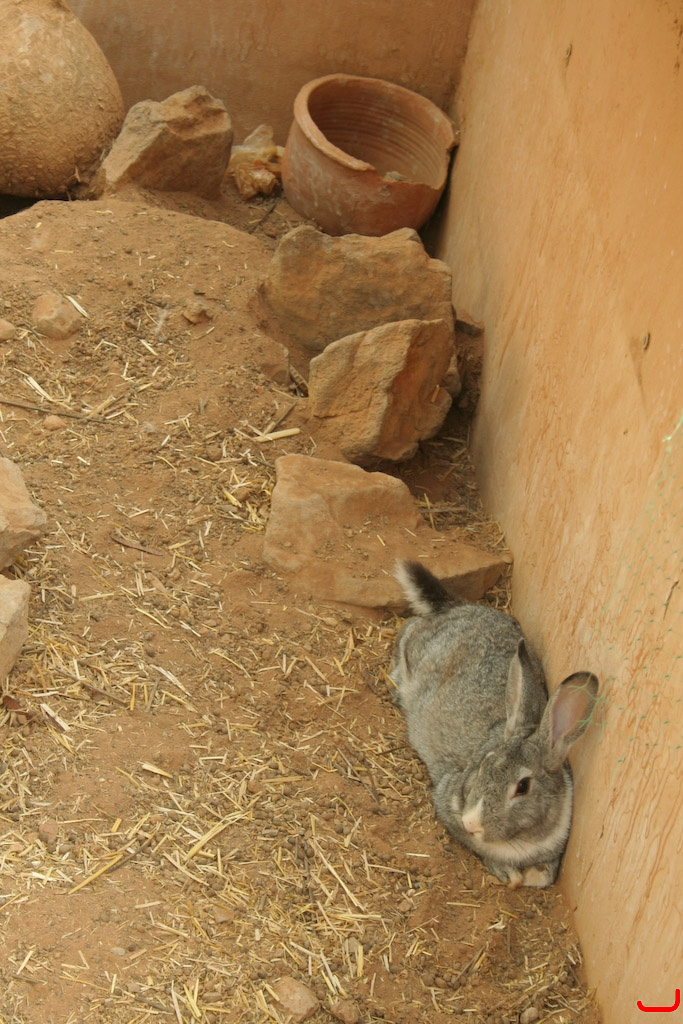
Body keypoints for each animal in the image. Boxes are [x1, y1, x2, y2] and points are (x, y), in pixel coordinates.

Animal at [391, 560, 598, 888]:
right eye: (485, 765)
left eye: (523, 787)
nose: (471, 822)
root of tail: (460, 607)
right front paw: (509, 874)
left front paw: (536, 875)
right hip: (417, 651)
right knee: (407, 633)